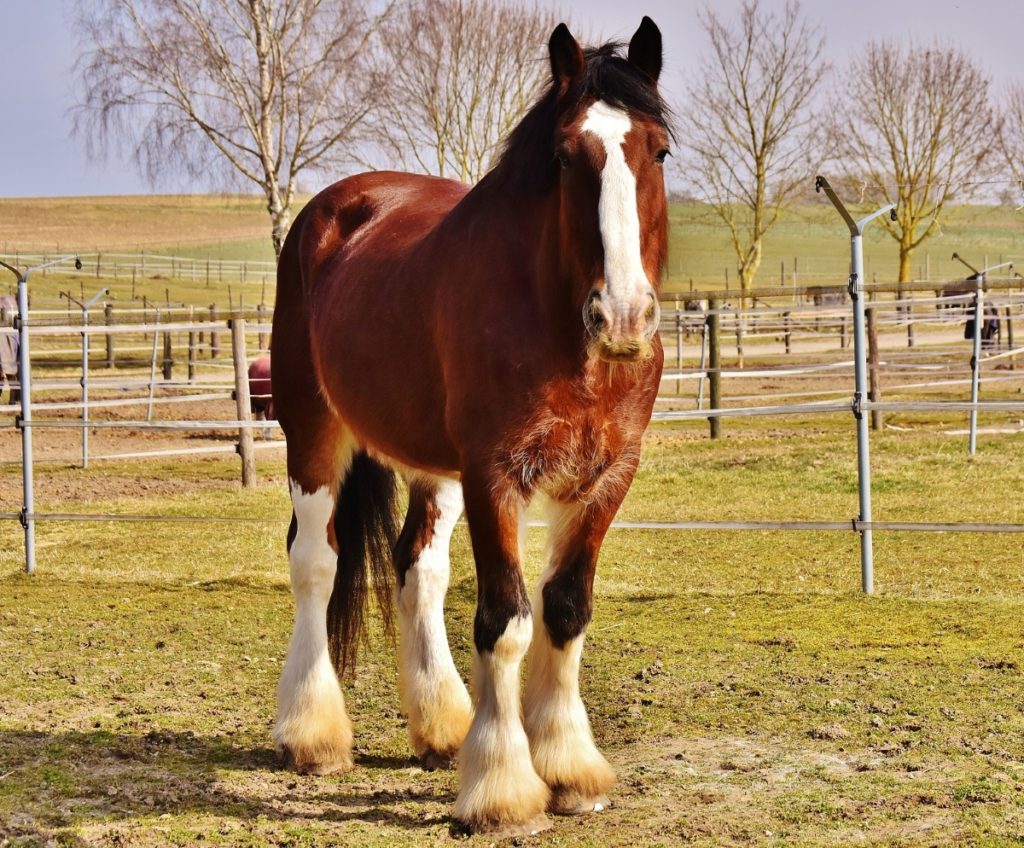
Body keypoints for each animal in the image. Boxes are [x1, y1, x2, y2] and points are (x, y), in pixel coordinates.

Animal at [272, 18, 671, 835]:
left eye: (659, 152)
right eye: (565, 154)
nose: (622, 315)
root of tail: (334, 208)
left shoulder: (607, 475)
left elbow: (565, 610)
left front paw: (570, 769)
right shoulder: (496, 474)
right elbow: (505, 620)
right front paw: (503, 789)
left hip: (434, 468)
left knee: (417, 568)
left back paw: (441, 726)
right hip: (314, 434)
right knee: (316, 563)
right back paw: (313, 735)